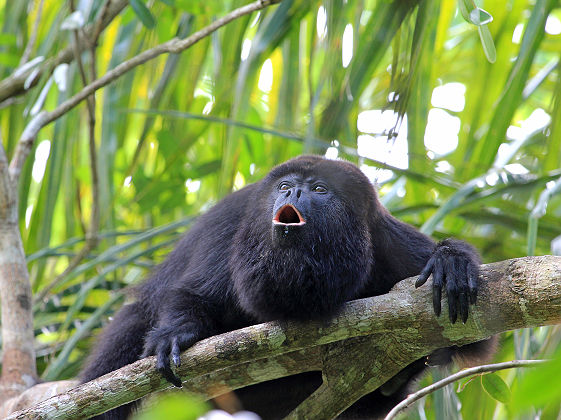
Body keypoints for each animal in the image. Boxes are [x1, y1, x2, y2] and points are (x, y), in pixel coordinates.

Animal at [81, 157, 492, 420]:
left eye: (320, 189)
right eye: (284, 186)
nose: (292, 194)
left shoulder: (387, 241)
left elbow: (474, 338)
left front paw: (450, 261)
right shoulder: (236, 221)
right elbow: (194, 294)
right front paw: (175, 334)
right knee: (130, 328)